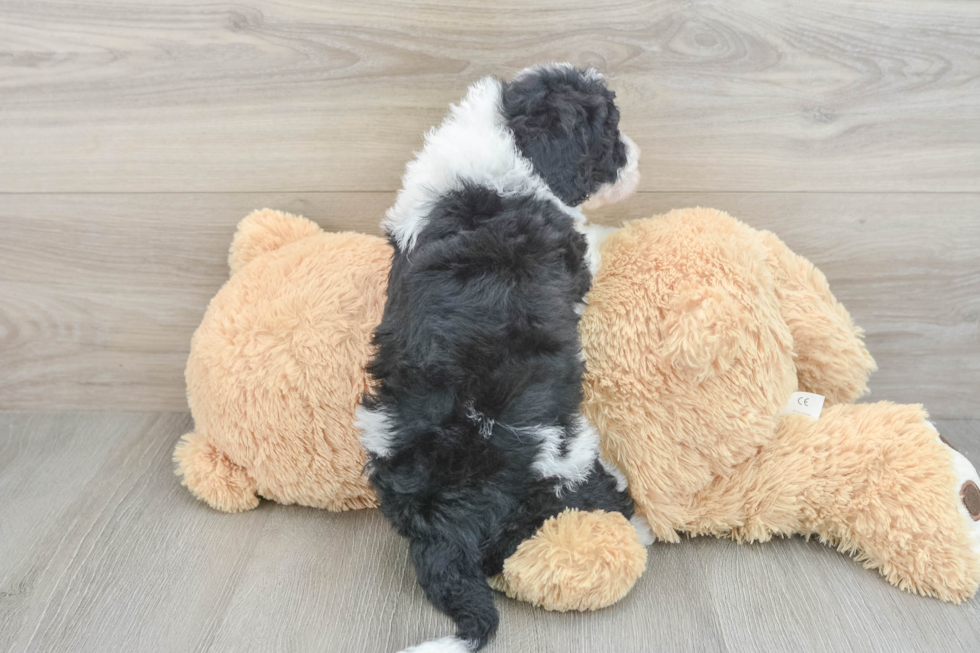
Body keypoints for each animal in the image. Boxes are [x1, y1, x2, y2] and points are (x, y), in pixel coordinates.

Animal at [358, 62, 644, 652]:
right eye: (607, 136)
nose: (637, 156)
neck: (506, 137)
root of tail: (441, 528)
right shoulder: (573, 252)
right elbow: (594, 240)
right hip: (567, 450)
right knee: (585, 498)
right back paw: (640, 520)